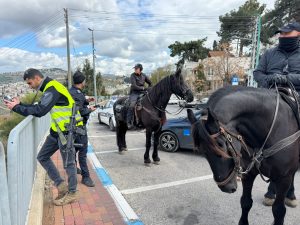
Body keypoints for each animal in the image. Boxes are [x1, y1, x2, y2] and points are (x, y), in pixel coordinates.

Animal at [186, 86, 298, 225]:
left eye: (221, 144)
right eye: (202, 150)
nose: (226, 187)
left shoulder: (284, 178)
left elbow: (278, 211)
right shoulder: (249, 174)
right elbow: (245, 202)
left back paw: (291, 196)